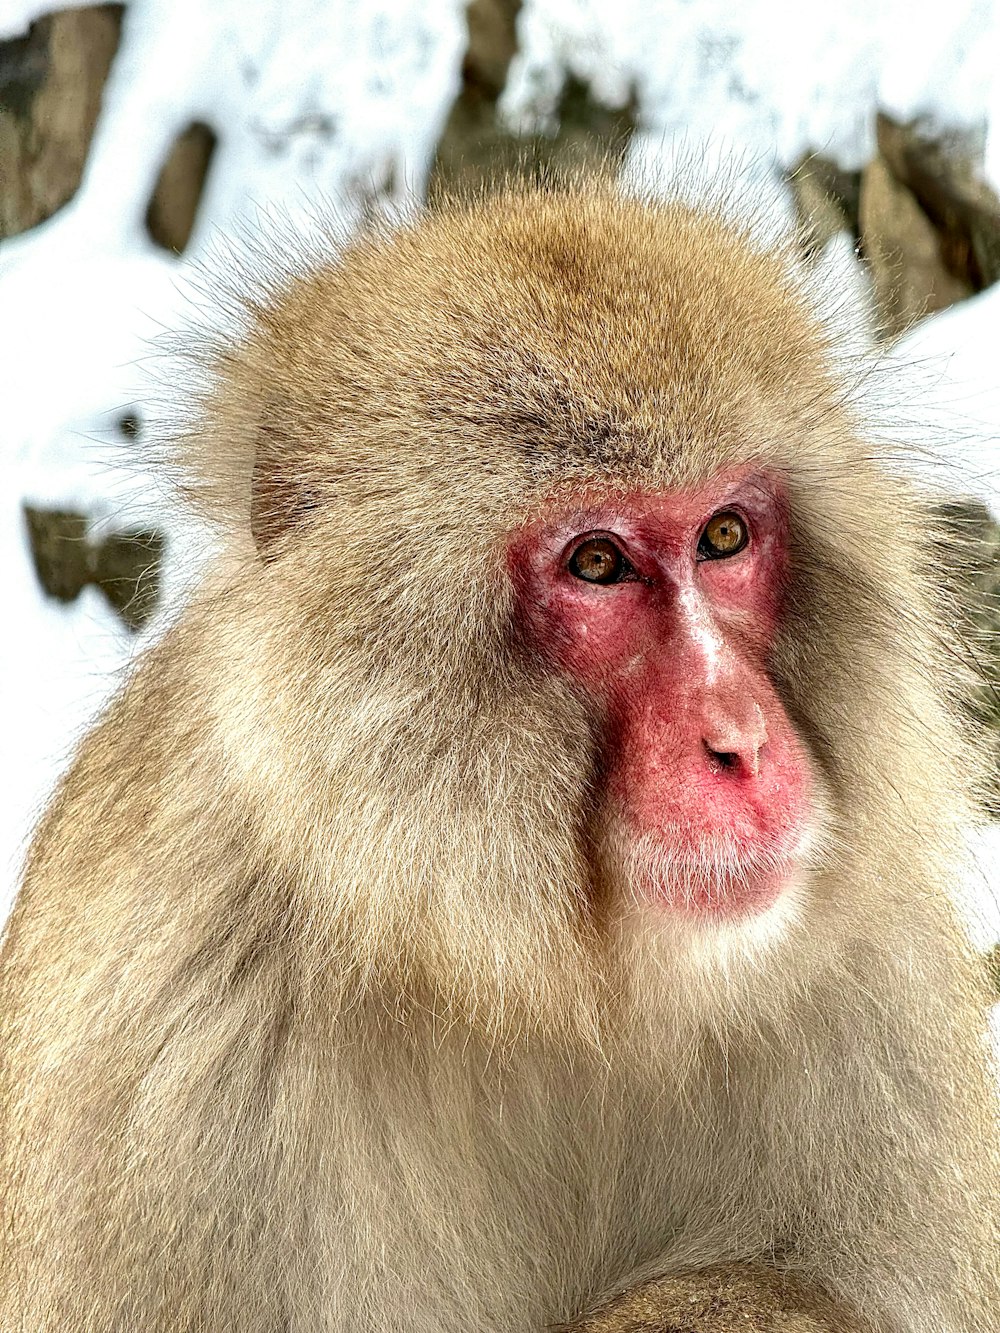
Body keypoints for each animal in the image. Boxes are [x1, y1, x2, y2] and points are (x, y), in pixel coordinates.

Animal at [1, 179, 1000, 1333]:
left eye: (723, 537)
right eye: (597, 562)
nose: (742, 739)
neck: (529, 984)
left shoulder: (872, 998)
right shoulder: (169, 1079)